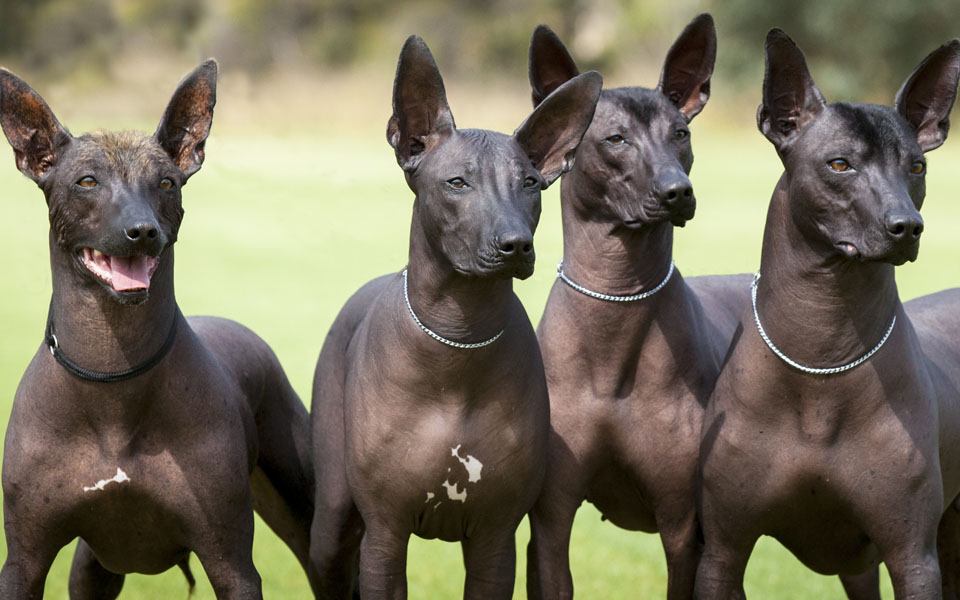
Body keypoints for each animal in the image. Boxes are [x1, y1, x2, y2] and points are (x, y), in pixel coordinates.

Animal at [0, 61, 316, 596]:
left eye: (167, 183)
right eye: (87, 181)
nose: (142, 230)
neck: (113, 380)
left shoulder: (231, 563)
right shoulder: (24, 561)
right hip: (93, 569)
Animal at [310, 37, 600, 600]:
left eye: (531, 184)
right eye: (457, 182)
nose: (515, 244)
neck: (457, 340)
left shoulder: (494, 538)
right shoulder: (385, 533)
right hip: (331, 526)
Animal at [524, 12, 752, 596]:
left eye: (682, 134)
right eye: (615, 139)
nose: (679, 191)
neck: (617, 299)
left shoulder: (683, 529)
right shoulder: (550, 524)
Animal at [692, 29, 960, 600]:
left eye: (917, 167)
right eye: (840, 164)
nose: (908, 226)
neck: (823, 350)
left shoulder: (913, 557)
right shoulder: (722, 552)